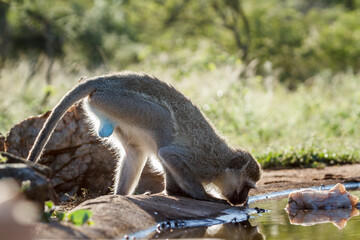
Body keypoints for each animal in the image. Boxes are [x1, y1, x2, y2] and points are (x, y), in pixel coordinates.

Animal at [26, 71, 260, 204]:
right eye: (247, 186)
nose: (243, 200)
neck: (222, 163)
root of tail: (102, 80)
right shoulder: (204, 164)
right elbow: (169, 154)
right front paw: (204, 196)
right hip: (119, 101)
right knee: (163, 124)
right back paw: (172, 190)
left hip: (111, 106)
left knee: (135, 151)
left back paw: (121, 196)